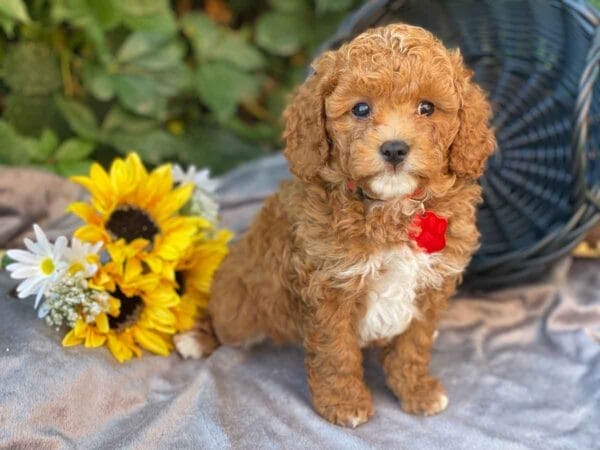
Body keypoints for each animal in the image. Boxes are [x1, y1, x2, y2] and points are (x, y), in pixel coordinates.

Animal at [176, 23, 494, 426]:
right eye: (360, 108)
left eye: (427, 108)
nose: (394, 149)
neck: (391, 207)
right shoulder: (330, 289)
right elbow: (336, 352)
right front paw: (345, 403)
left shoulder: (431, 286)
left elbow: (414, 344)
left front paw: (416, 389)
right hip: (242, 306)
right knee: (223, 317)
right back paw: (197, 338)